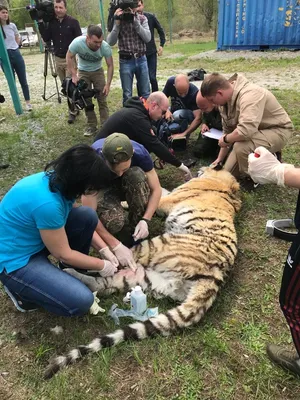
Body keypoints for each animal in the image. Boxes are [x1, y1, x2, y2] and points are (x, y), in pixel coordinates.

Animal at [44, 168, 241, 378]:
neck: (226, 186)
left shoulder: (168, 201)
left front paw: (124, 205)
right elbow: (161, 189)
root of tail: (217, 273)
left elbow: (160, 195)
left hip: (152, 246)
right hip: (146, 277)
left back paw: (87, 265)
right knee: (104, 284)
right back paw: (77, 275)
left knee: (119, 262)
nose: (199, 169)